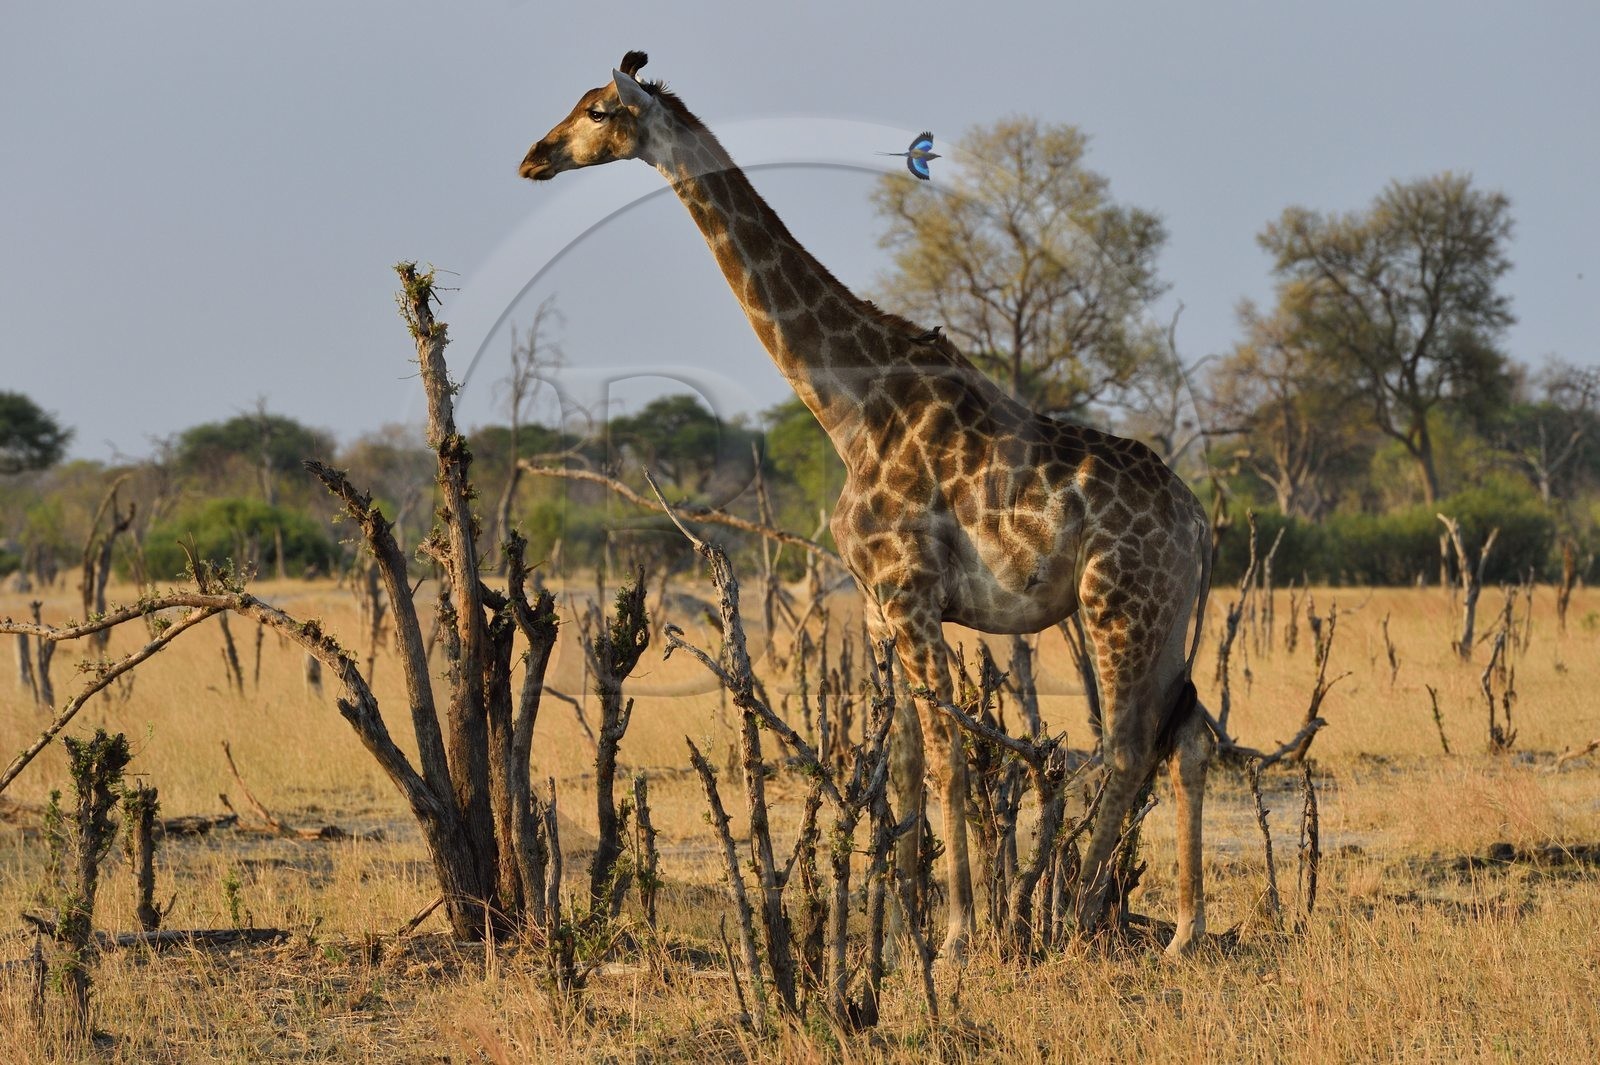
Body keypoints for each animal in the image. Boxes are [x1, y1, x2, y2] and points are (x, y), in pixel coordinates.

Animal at [519, 52, 1215, 958]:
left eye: (599, 111)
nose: (533, 157)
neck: (848, 404)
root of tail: (1198, 522)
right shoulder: (884, 607)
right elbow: (910, 761)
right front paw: (903, 933)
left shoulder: (910, 590)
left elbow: (951, 750)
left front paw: (958, 934)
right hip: (1170, 613)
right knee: (1189, 736)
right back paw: (1184, 931)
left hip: (1117, 602)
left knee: (1130, 745)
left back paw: (1076, 918)